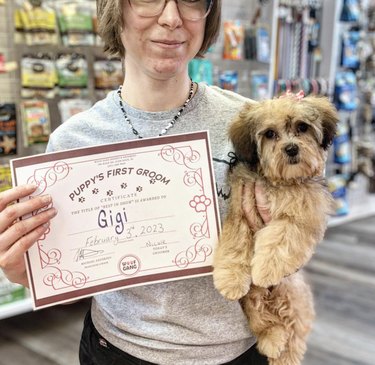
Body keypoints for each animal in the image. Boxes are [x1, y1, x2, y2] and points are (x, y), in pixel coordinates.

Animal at [213, 93, 340, 364]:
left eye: (302, 127)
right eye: (270, 134)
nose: (291, 148)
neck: (281, 182)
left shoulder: (303, 215)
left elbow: (282, 237)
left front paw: (266, 269)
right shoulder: (241, 209)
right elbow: (236, 242)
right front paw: (230, 279)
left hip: (294, 294)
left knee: (294, 335)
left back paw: (282, 349)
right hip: (252, 298)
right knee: (263, 319)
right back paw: (272, 339)